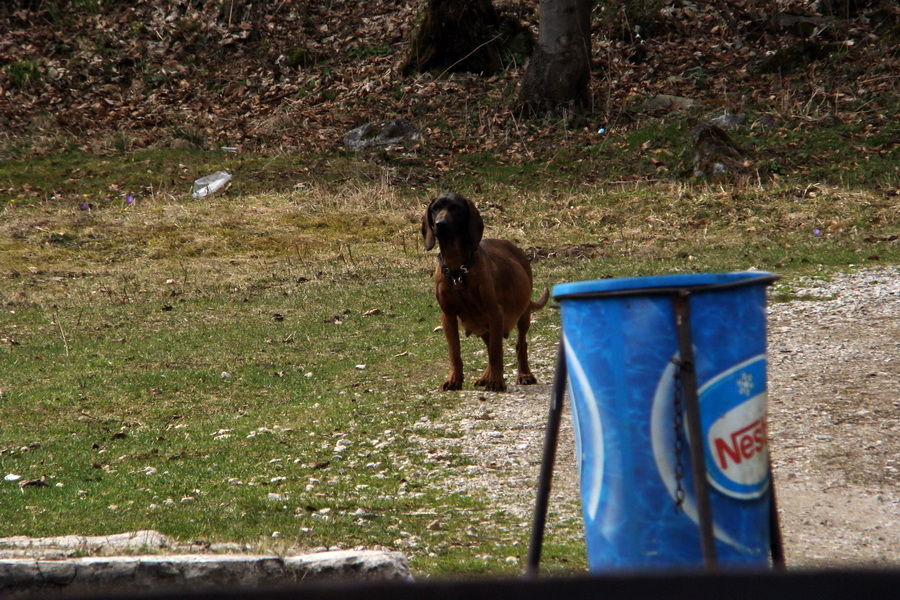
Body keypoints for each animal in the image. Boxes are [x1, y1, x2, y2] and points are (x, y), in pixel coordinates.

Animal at [422, 190, 548, 392]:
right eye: (435, 208)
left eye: (455, 208)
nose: (439, 224)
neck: (458, 269)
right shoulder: (448, 315)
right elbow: (455, 352)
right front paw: (455, 379)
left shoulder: (495, 312)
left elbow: (496, 352)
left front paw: (496, 381)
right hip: (481, 323)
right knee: (490, 344)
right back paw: (485, 376)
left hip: (522, 315)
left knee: (520, 344)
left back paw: (524, 374)